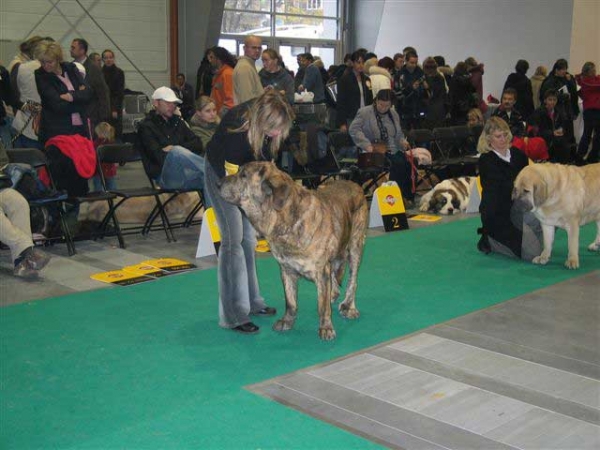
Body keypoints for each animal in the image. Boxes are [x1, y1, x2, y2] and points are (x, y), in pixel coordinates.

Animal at [219, 160, 368, 340]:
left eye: (243, 175)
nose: (218, 183)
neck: (286, 218)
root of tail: (354, 184)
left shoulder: (320, 270)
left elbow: (322, 305)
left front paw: (326, 328)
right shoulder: (286, 269)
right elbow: (290, 301)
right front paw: (287, 322)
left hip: (355, 246)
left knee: (353, 280)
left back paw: (349, 307)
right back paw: (334, 294)